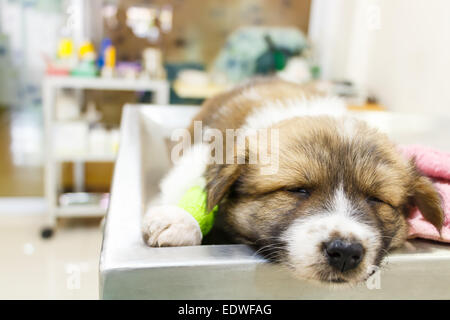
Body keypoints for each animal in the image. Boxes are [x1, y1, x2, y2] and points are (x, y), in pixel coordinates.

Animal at [142, 79, 442, 284]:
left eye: (376, 199)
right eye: (298, 190)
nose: (345, 252)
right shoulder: (202, 155)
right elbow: (189, 183)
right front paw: (179, 220)